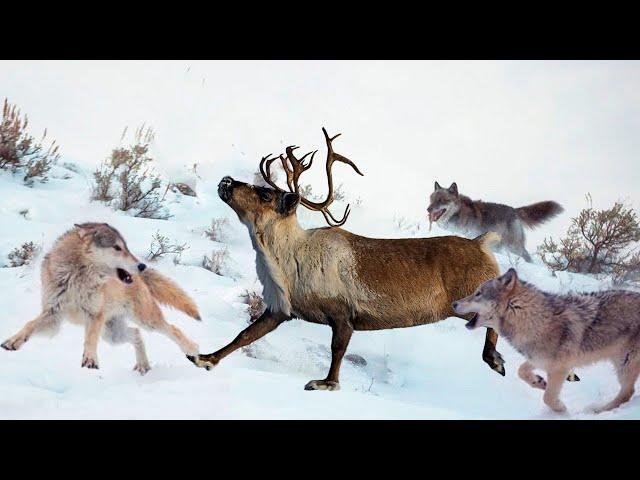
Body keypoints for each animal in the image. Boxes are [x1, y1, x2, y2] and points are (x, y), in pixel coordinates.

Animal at [1, 222, 201, 376]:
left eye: (126, 247)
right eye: (117, 247)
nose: (142, 266)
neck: (76, 277)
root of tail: (141, 279)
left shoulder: (94, 315)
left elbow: (89, 338)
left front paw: (90, 360)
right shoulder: (53, 314)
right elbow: (29, 324)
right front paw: (12, 341)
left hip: (145, 321)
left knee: (173, 329)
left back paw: (193, 350)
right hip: (113, 335)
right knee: (137, 334)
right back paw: (143, 367)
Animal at [428, 181, 564, 262]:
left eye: (442, 200)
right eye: (432, 199)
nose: (428, 209)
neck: (457, 214)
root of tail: (514, 210)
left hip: (514, 246)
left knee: (526, 255)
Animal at [450, 268, 640, 414]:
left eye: (478, 294)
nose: (453, 303)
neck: (534, 320)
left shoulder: (560, 369)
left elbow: (548, 397)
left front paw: (561, 409)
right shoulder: (538, 359)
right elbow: (521, 371)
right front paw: (539, 382)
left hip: (624, 364)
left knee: (627, 393)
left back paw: (598, 410)